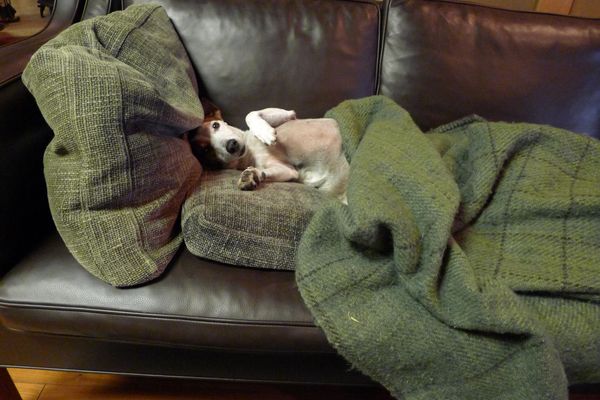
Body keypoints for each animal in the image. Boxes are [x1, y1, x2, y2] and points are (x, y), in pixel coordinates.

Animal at [189, 105, 349, 203]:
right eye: (206, 150)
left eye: (215, 125)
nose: (231, 145)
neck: (250, 152)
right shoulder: (288, 170)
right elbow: (265, 172)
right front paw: (251, 175)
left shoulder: (290, 115)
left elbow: (250, 114)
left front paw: (264, 132)